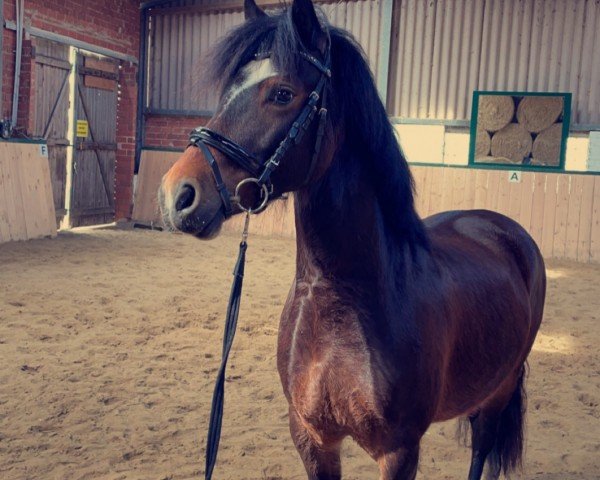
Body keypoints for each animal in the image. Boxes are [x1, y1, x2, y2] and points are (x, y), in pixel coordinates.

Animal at [157, 1, 548, 478]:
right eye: (228, 91)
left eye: (282, 93)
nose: (177, 195)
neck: (341, 302)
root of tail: (506, 230)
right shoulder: (312, 439)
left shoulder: (399, 452)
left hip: (499, 388)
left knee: (481, 447)